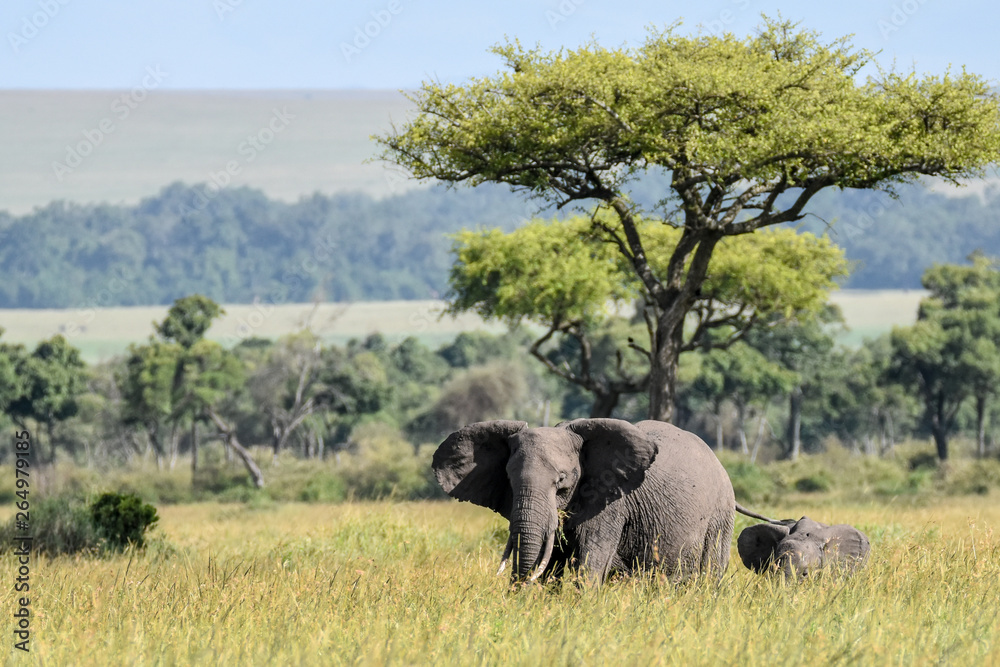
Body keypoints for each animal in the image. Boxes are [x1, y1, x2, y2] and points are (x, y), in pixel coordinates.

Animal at [432, 418, 739, 584]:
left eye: (561, 481)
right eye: (508, 478)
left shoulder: (611, 504)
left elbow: (590, 563)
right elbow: (550, 564)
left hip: (720, 517)